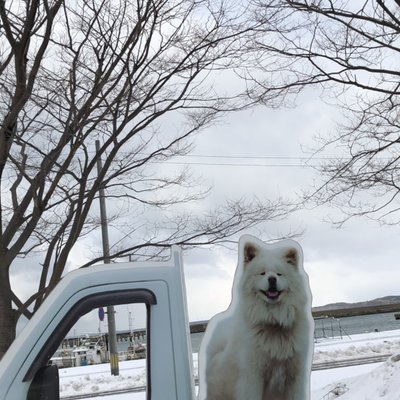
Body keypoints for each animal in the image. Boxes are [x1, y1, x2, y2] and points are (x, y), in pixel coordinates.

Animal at [198, 234, 314, 400]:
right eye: (262, 273)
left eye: (279, 274)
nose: (272, 279)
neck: (273, 321)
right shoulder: (252, 375)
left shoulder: (295, 375)